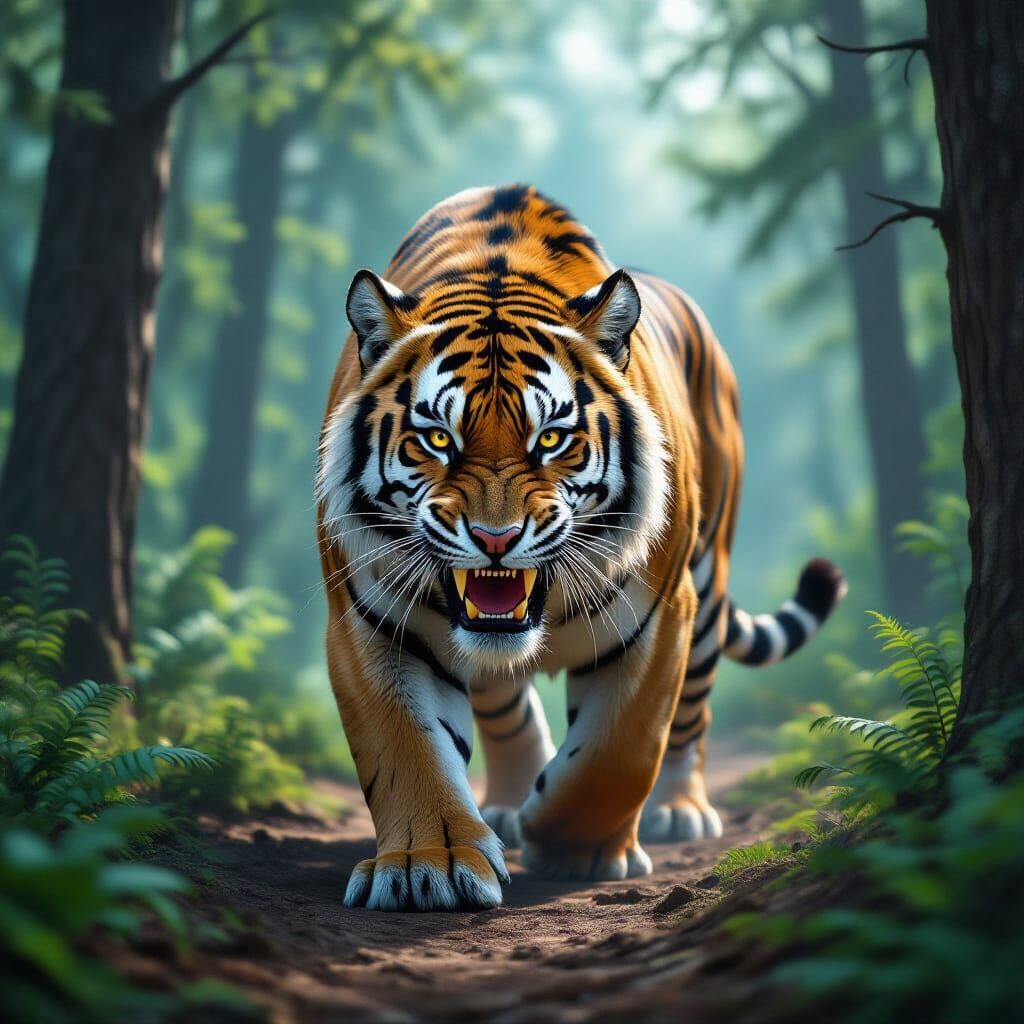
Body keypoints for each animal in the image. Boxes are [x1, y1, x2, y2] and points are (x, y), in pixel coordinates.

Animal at [316, 184, 845, 912]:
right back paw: (507, 805)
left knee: (693, 712)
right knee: (503, 702)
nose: (496, 538)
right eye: (438, 439)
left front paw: (575, 849)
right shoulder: (367, 619)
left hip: (709, 583)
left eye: (550, 438)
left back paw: (678, 809)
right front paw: (431, 865)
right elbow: (406, 752)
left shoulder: (661, 615)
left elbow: (617, 751)